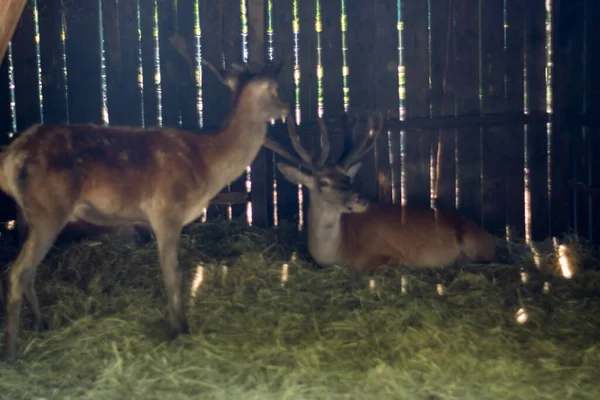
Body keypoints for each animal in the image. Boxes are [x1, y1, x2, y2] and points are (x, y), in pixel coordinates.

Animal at [0, 61, 290, 364]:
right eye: (275, 87)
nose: (288, 108)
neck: (208, 166)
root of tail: (10, 159)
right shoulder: (167, 211)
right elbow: (173, 273)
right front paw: (179, 329)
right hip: (49, 211)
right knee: (17, 272)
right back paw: (11, 353)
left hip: (28, 216)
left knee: (28, 271)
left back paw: (42, 324)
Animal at [264, 113, 494, 272]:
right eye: (324, 182)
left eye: (348, 179)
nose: (361, 200)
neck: (337, 252)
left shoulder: (391, 255)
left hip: (476, 244)